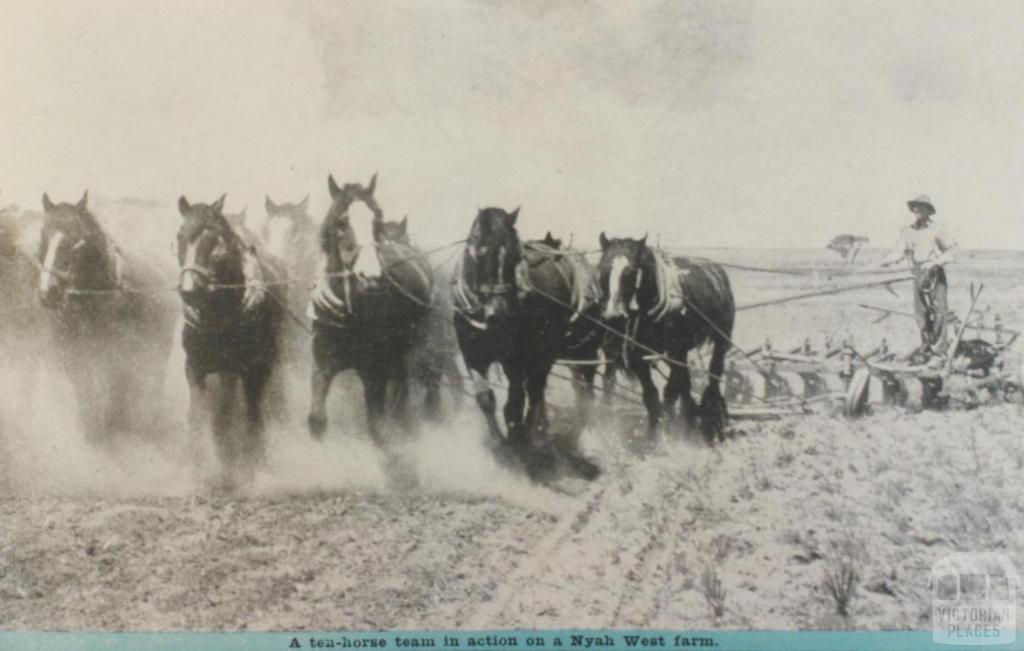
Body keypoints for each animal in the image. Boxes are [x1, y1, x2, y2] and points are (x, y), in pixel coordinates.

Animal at [36, 190, 176, 440]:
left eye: (75, 240)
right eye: (44, 236)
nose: (48, 293)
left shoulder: (113, 352)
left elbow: (108, 385)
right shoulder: (76, 353)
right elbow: (84, 388)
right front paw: (91, 427)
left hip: (156, 349)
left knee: (150, 380)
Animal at [303, 172, 432, 448]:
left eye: (377, 218)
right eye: (341, 221)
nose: (371, 275)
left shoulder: (376, 372)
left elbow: (377, 425)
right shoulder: (322, 361)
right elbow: (317, 418)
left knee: (402, 381)